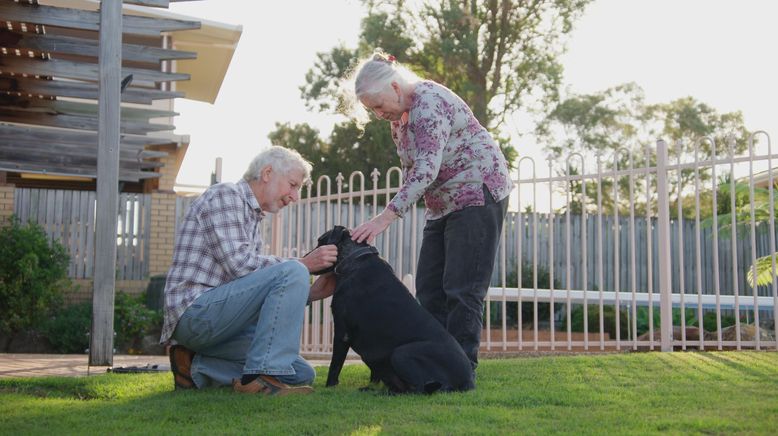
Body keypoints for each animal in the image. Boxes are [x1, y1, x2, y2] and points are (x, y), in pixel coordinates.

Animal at [310, 227, 472, 394]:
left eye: (320, 240)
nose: (306, 257)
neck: (354, 258)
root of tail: (468, 381)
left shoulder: (342, 332)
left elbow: (335, 366)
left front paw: (329, 387)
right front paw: (371, 385)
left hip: (401, 353)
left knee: (418, 389)